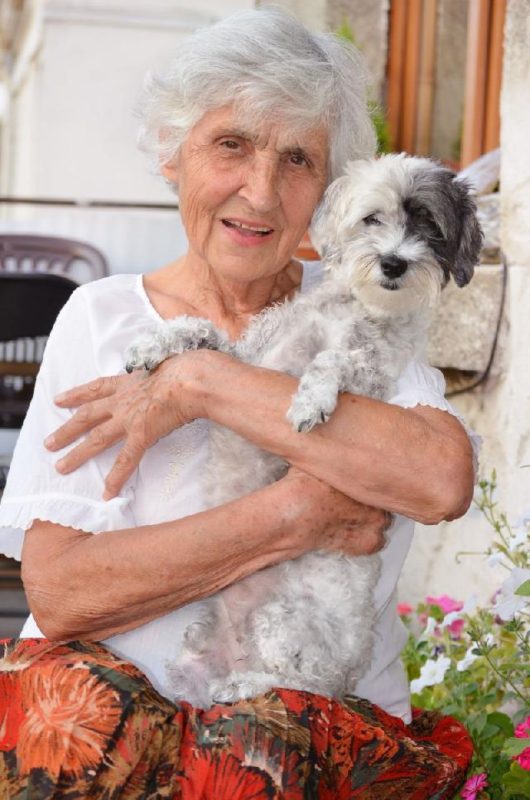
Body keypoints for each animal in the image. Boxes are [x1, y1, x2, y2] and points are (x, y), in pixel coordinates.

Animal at [126, 152, 480, 708]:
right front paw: (154, 344)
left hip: (289, 625)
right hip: (196, 651)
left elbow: (333, 360)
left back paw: (246, 685)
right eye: (372, 218)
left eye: (430, 226)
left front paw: (310, 400)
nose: (394, 263)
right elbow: (203, 333)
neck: (352, 309)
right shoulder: (251, 360)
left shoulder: (369, 378)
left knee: (308, 688)